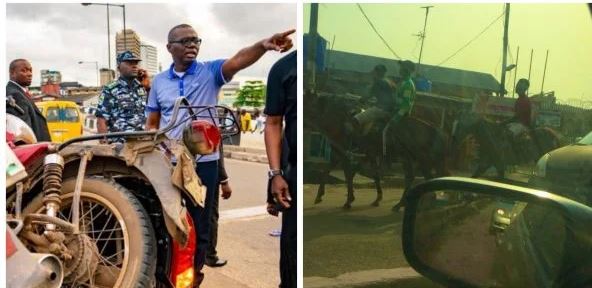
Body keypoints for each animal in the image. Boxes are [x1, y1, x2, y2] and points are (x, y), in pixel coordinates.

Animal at [306, 90, 448, 209]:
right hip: (412, 159)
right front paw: (375, 198)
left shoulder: (349, 152)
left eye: (306, 103)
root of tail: (436, 130)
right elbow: (370, 174)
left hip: (420, 160)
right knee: (415, 178)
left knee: (421, 178)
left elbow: (345, 173)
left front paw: (347, 200)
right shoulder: (366, 153)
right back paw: (405, 204)